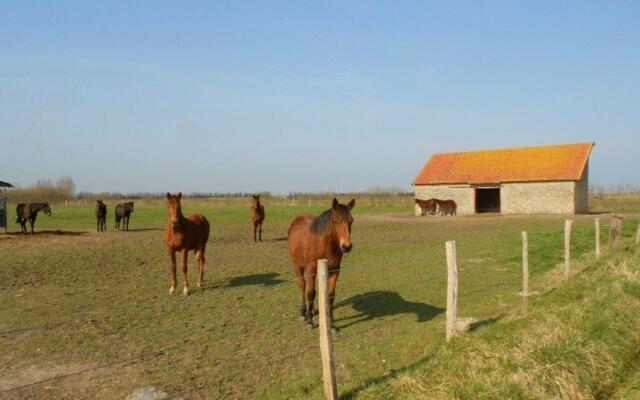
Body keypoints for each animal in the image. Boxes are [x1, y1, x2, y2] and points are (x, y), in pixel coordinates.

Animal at [288, 197, 356, 332]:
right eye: (335, 220)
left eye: (351, 221)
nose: (347, 246)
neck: (324, 244)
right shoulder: (311, 269)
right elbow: (310, 293)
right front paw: (310, 322)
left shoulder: (335, 270)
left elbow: (330, 296)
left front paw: (332, 325)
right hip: (297, 266)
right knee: (302, 286)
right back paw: (303, 313)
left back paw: (313, 310)